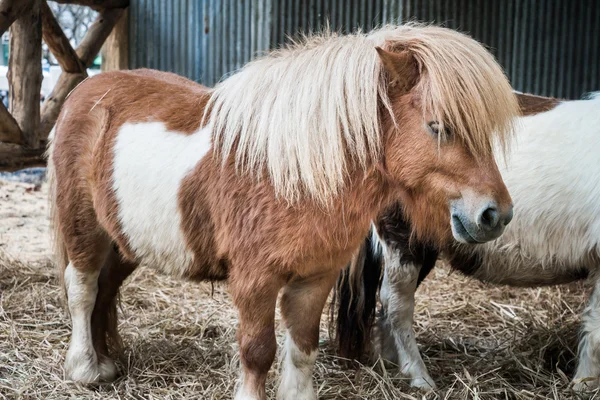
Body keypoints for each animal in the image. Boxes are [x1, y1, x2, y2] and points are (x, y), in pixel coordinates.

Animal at [47, 25, 516, 400]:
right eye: (438, 126)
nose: (495, 215)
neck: (291, 173)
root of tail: (85, 91)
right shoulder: (255, 282)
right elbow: (258, 351)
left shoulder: (314, 279)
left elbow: (304, 347)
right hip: (84, 228)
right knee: (83, 287)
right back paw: (87, 369)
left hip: (125, 241)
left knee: (105, 289)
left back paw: (109, 359)